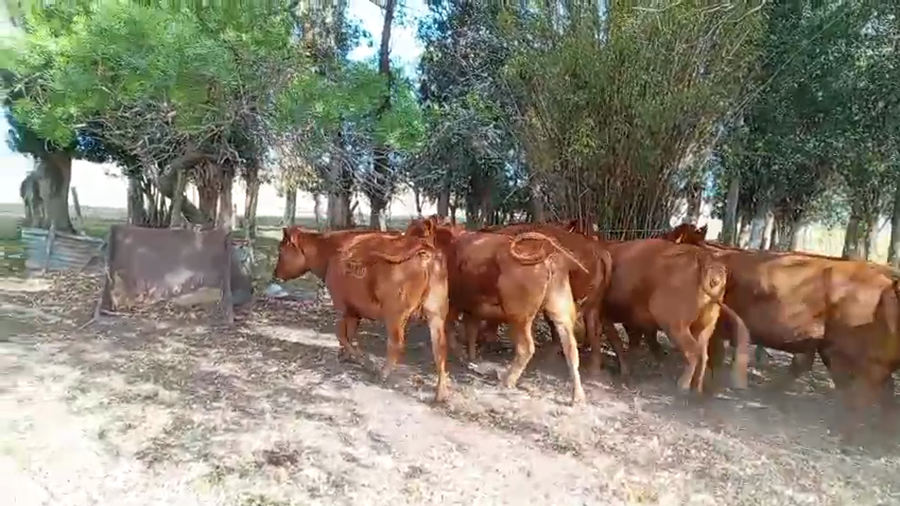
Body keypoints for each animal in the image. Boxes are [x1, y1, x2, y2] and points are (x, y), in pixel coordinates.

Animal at [272, 226, 451, 403]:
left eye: (281, 249)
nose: (275, 274)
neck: (330, 250)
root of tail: (423, 248)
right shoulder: (354, 312)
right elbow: (349, 335)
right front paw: (345, 356)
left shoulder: (341, 308)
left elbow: (341, 335)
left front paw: (365, 361)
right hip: (436, 314)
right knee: (440, 348)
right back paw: (441, 394)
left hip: (394, 315)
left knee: (396, 343)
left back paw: (382, 373)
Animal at [407, 217, 591, 405]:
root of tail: (548, 252)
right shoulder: (471, 308)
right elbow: (471, 330)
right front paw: (472, 357)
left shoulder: (452, 304)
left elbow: (450, 331)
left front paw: (462, 355)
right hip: (560, 310)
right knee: (570, 348)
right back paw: (578, 396)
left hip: (519, 316)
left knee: (527, 347)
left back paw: (507, 379)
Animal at [598, 238, 751, 393]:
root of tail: (707, 261)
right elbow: (636, 343)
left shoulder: (607, 317)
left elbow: (618, 341)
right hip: (705, 324)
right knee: (703, 354)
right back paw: (697, 389)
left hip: (673, 323)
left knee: (693, 351)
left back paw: (682, 386)